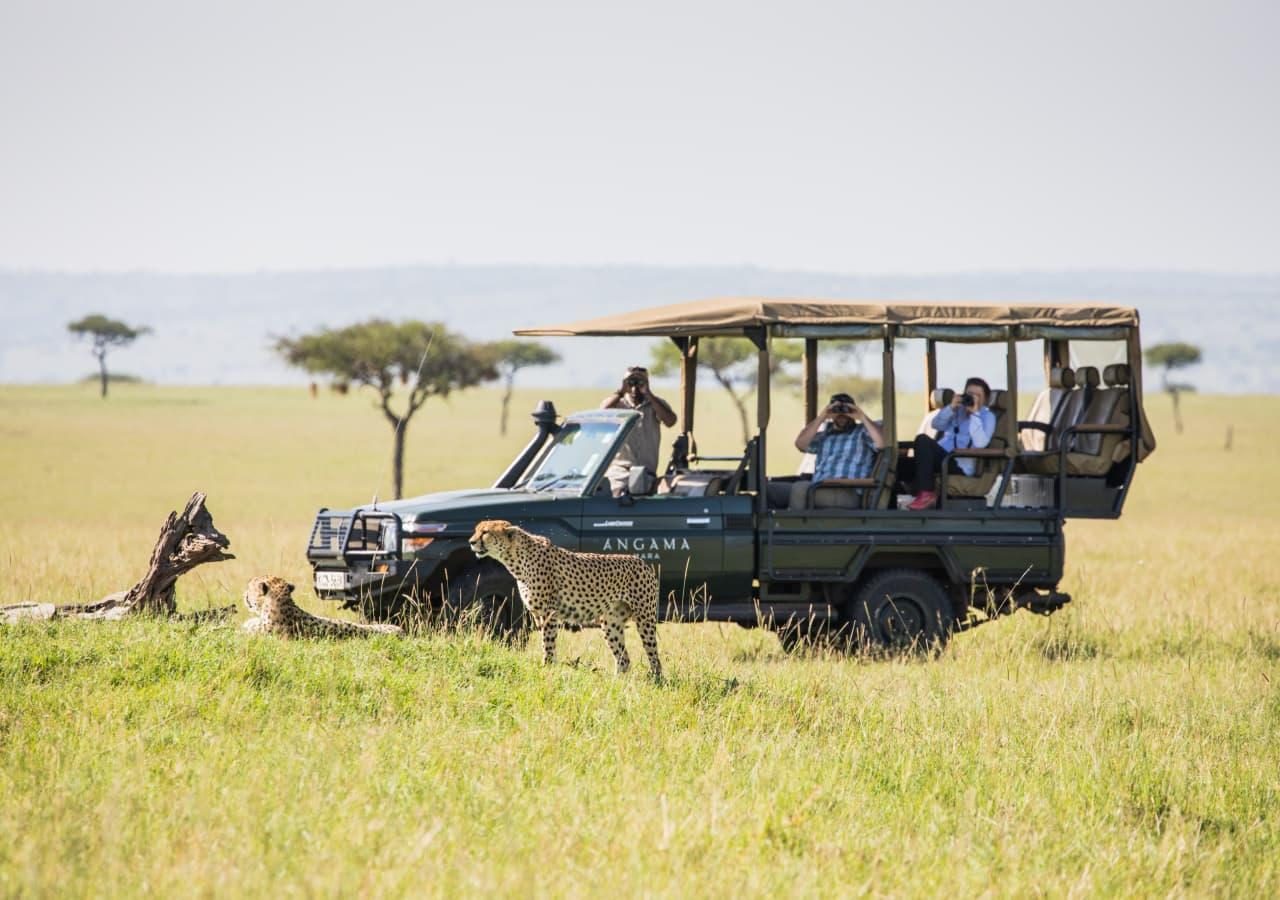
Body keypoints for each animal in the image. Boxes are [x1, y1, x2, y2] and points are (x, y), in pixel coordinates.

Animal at [473, 517, 670, 681]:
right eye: (476, 530)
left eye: (485, 532)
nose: (471, 542)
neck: (516, 559)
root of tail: (642, 561)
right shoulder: (538, 614)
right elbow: (545, 642)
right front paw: (548, 667)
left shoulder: (548, 613)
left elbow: (548, 642)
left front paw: (547, 667)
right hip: (611, 623)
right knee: (624, 658)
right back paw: (616, 683)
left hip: (644, 618)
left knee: (653, 653)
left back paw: (656, 680)